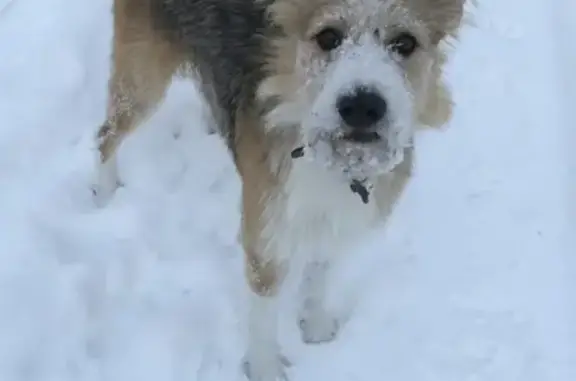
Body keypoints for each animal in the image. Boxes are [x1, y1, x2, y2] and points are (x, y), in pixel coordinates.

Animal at [91, 0, 468, 378]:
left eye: (405, 43)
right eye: (328, 37)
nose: (362, 106)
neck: (330, 159)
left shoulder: (333, 220)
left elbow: (319, 272)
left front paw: (315, 326)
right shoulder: (265, 235)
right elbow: (264, 310)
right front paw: (265, 368)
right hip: (141, 78)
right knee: (107, 134)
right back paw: (104, 193)